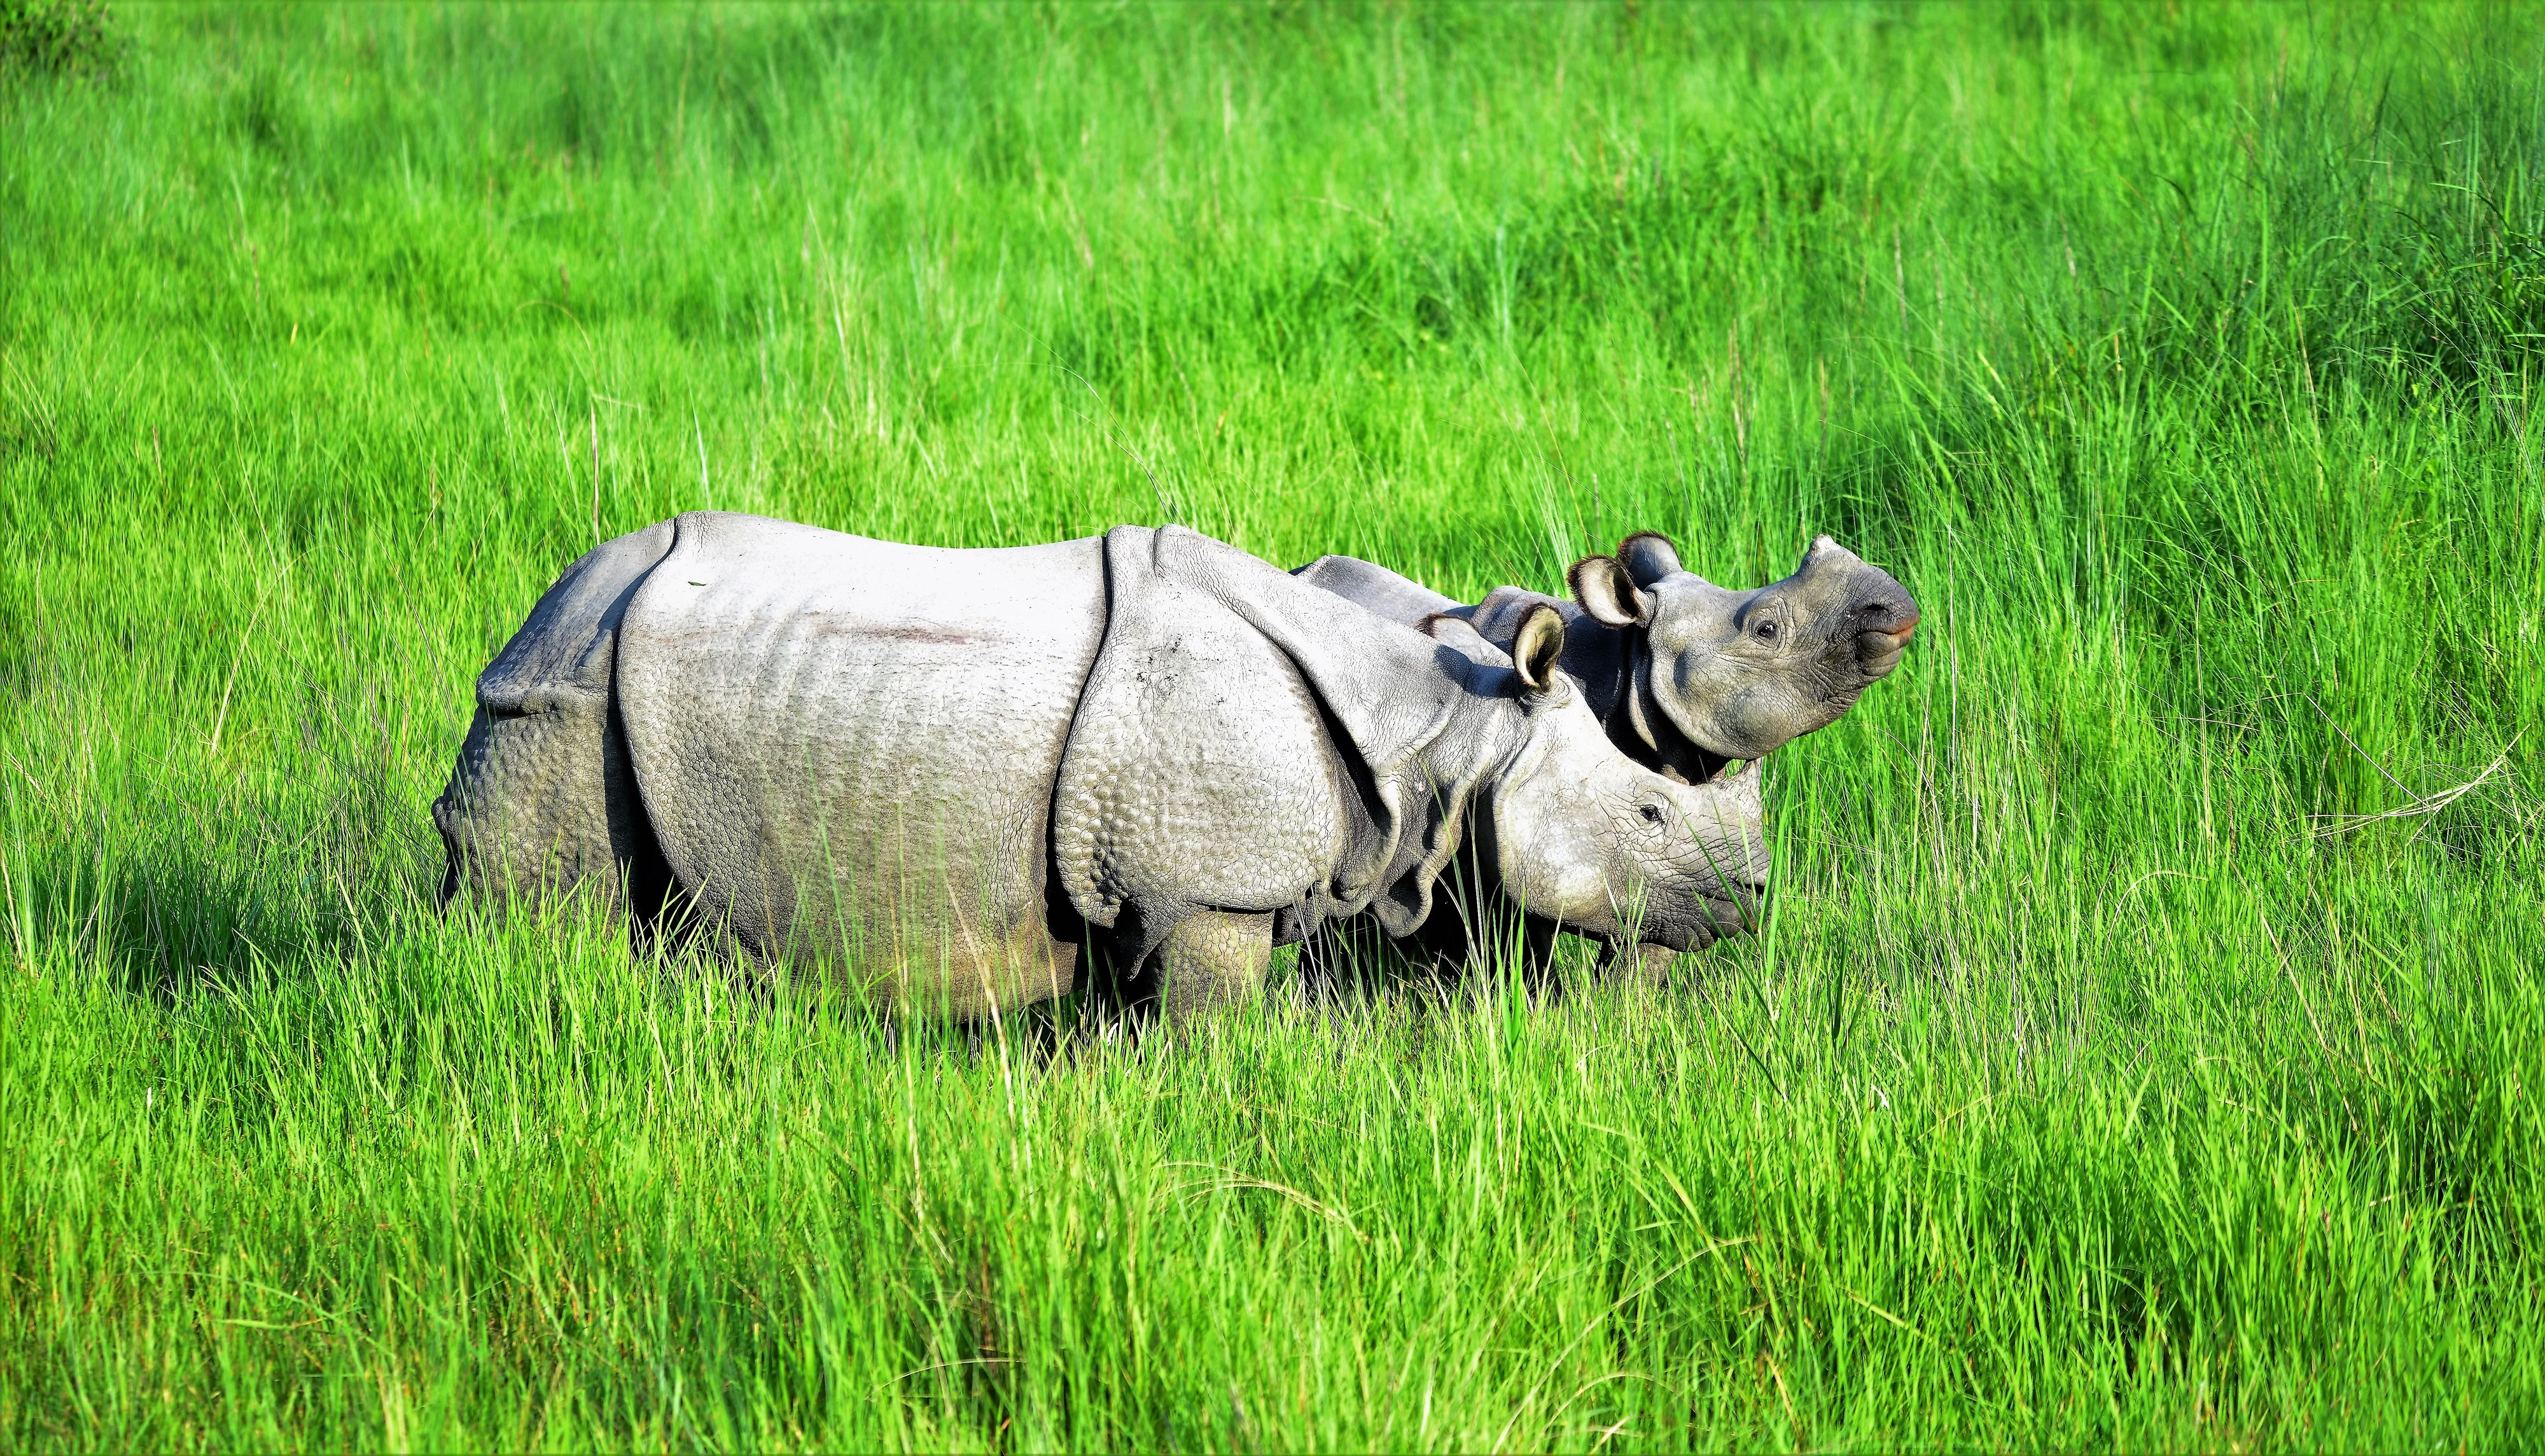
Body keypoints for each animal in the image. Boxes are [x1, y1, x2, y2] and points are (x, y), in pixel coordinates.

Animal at [438, 511, 1771, 1023]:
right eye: (1651, 810)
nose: (1753, 899)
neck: (1442, 726)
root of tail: (542, 614)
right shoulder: (1208, 884)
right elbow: (1214, 1041)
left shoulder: (1151, 887)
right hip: (565, 690)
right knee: (544, 907)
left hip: (593, 670)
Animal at [1293, 532, 1914, 977]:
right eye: (1766, 630)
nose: (1896, 606)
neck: (1630, 668)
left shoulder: (1660, 844)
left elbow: (1653, 934)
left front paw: (1623, 1019)